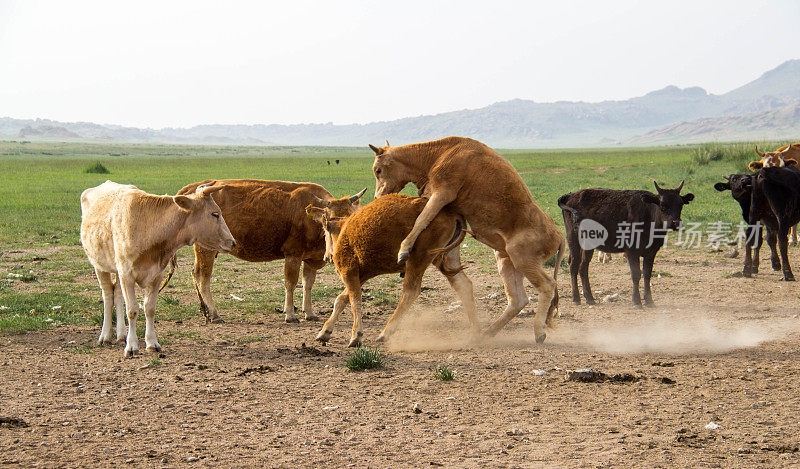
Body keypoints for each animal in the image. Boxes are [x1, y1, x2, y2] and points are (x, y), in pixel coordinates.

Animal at [80, 179, 236, 354]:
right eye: (215, 214)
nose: (233, 242)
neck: (148, 227)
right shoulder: (127, 274)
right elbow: (132, 310)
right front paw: (132, 346)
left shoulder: (155, 275)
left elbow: (149, 308)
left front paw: (151, 343)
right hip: (100, 266)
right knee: (107, 295)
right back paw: (106, 336)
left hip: (117, 270)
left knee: (117, 294)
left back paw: (121, 334)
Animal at [173, 178, 368, 322]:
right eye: (328, 220)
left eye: (351, 218)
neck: (310, 217)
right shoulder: (292, 254)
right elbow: (290, 283)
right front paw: (290, 314)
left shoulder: (311, 258)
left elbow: (308, 284)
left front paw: (310, 312)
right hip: (205, 249)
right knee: (203, 277)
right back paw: (214, 314)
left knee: (195, 273)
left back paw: (204, 310)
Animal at [304, 192, 472, 346]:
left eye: (325, 232)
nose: (327, 256)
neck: (344, 228)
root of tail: (452, 214)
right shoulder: (361, 274)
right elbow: (341, 299)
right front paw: (324, 332)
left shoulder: (348, 271)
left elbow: (354, 300)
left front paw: (356, 336)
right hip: (447, 258)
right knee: (464, 284)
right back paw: (475, 331)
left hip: (417, 260)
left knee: (410, 292)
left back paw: (385, 333)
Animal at [370, 137, 564, 342]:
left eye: (378, 170)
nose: (377, 196)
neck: (440, 153)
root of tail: (559, 235)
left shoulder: (442, 193)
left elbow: (422, 218)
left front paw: (403, 250)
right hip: (506, 261)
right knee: (518, 300)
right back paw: (487, 333)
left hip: (523, 261)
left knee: (547, 285)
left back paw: (539, 331)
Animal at [556, 180, 692, 308]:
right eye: (662, 205)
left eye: (680, 204)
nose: (675, 223)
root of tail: (572, 195)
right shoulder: (631, 251)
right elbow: (636, 274)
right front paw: (637, 301)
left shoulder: (651, 252)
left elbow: (647, 274)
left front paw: (649, 301)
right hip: (573, 239)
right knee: (574, 266)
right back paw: (576, 298)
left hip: (588, 244)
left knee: (583, 267)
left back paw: (589, 298)